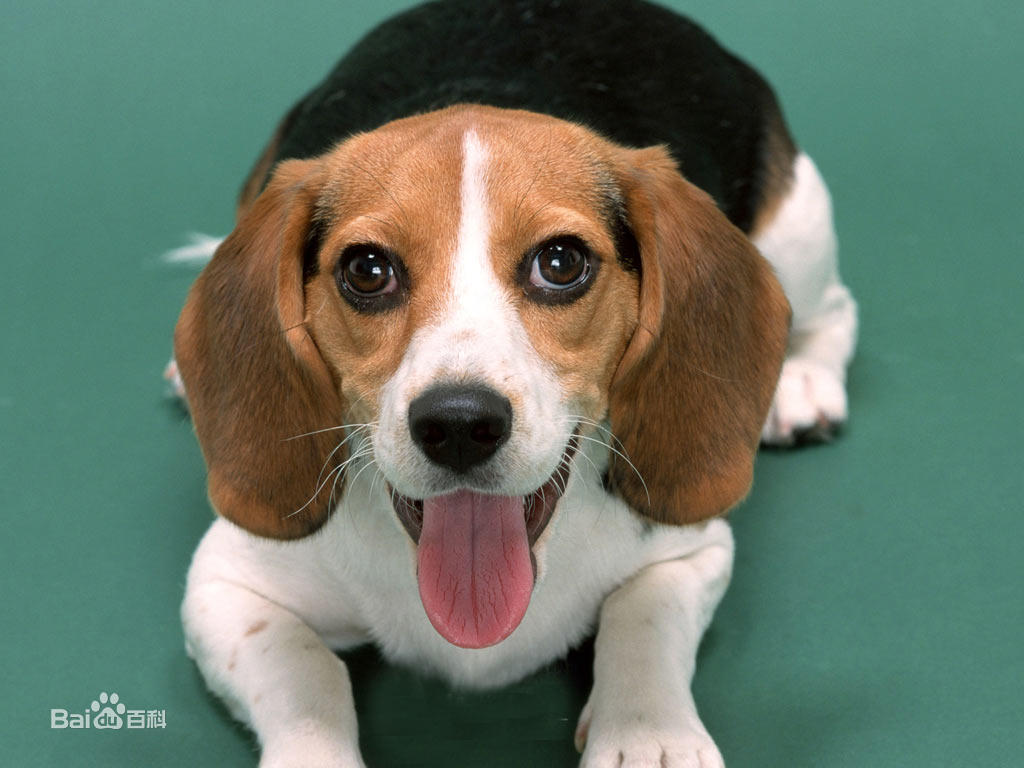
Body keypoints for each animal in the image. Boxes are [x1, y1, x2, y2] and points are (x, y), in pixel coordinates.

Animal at [174, 3, 856, 765]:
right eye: (367, 270)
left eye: (560, 262)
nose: (458, 424)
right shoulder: (224, 586)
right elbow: (307, 678)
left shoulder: (689, 551)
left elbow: (642, 617)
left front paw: (648, 735)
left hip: (797, 230)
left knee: (834, 309)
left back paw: (802, 385)